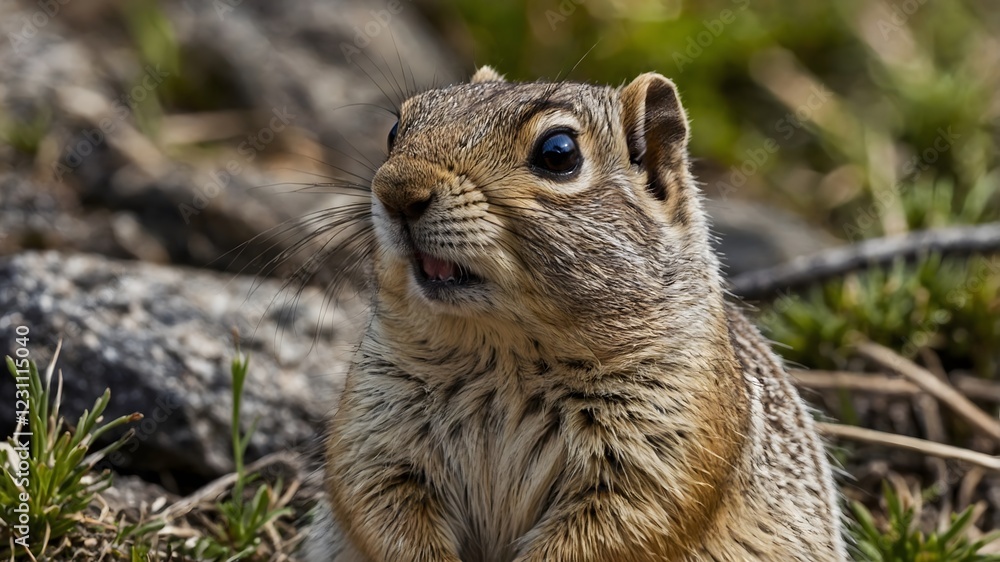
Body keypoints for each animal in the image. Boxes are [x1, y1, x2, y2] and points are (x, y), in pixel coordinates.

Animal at [305, 66, 846, 561]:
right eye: (396, 129)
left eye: (558, 153)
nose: (396, 189)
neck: (503, 354)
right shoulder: (375, 426)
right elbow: (376, 501)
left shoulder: (668, 446)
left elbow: (617, 529)